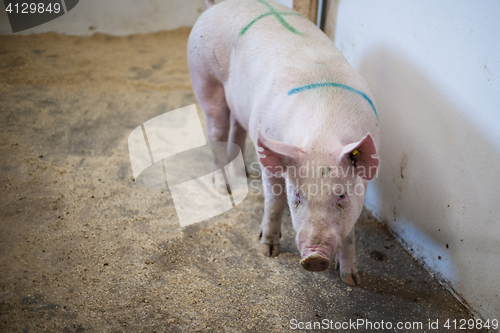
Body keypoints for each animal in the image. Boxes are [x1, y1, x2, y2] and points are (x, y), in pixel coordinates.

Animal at [188, 0, 378, 286]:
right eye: (297, 194)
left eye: (341, 195)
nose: (315, 257)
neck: (322, 135)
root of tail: (217, 5)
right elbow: (274, 201)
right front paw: (268, 251)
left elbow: (351, 232)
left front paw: (351, 280)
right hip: (204, 76)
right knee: (216, 131)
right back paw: (224, 189)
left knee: (237, 129)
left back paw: (244, 174)